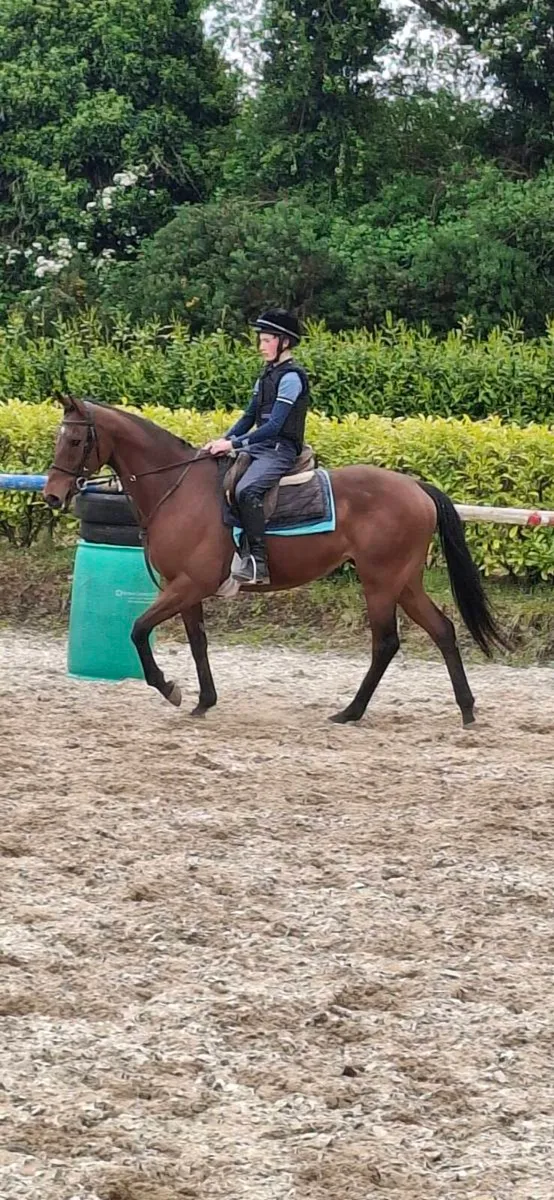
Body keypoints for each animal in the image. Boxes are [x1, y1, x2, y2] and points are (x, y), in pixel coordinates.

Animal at [43, 394, 508, 726]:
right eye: (58, 438)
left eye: (75, 440)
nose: (52, 496)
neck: (179, 488)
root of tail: (416, 487)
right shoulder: (185, 587)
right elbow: (197, 643)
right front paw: (204, 701)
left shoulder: (189, 583)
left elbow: (139, 630)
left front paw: (169, 688)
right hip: (404, 582)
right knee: (442, 630)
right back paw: (466, 709)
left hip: (380, 581)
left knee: (386, 643)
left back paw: (351, 712)